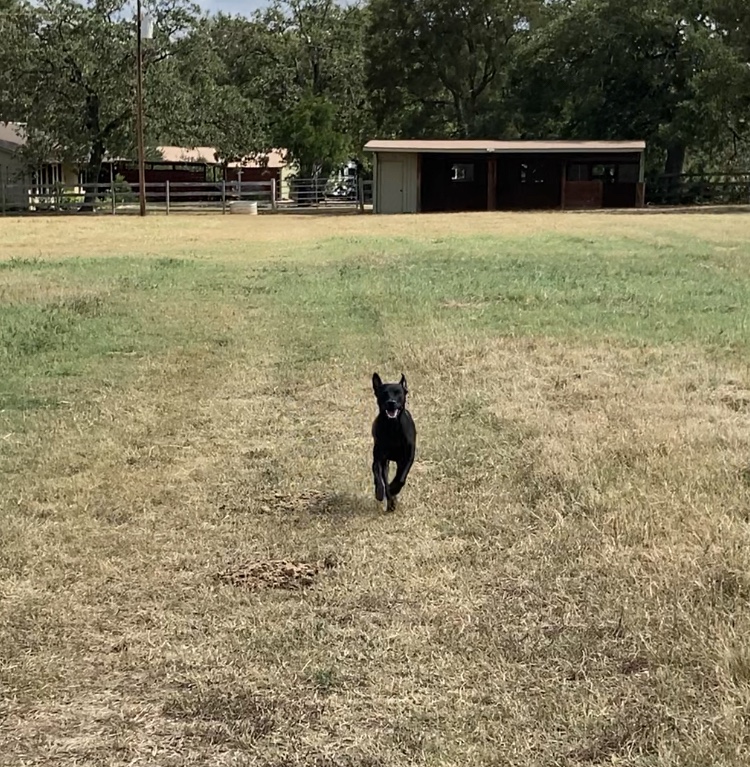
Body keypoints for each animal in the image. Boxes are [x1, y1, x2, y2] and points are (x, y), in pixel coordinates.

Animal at [371, 372, 416, 511]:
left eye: (398, 393)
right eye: (384, 393)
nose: (391, 402)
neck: (393, 427)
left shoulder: (408, 457)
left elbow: (401, 478)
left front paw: (394, 488)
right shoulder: (380, 457)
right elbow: (379, 476)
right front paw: (380, 492)